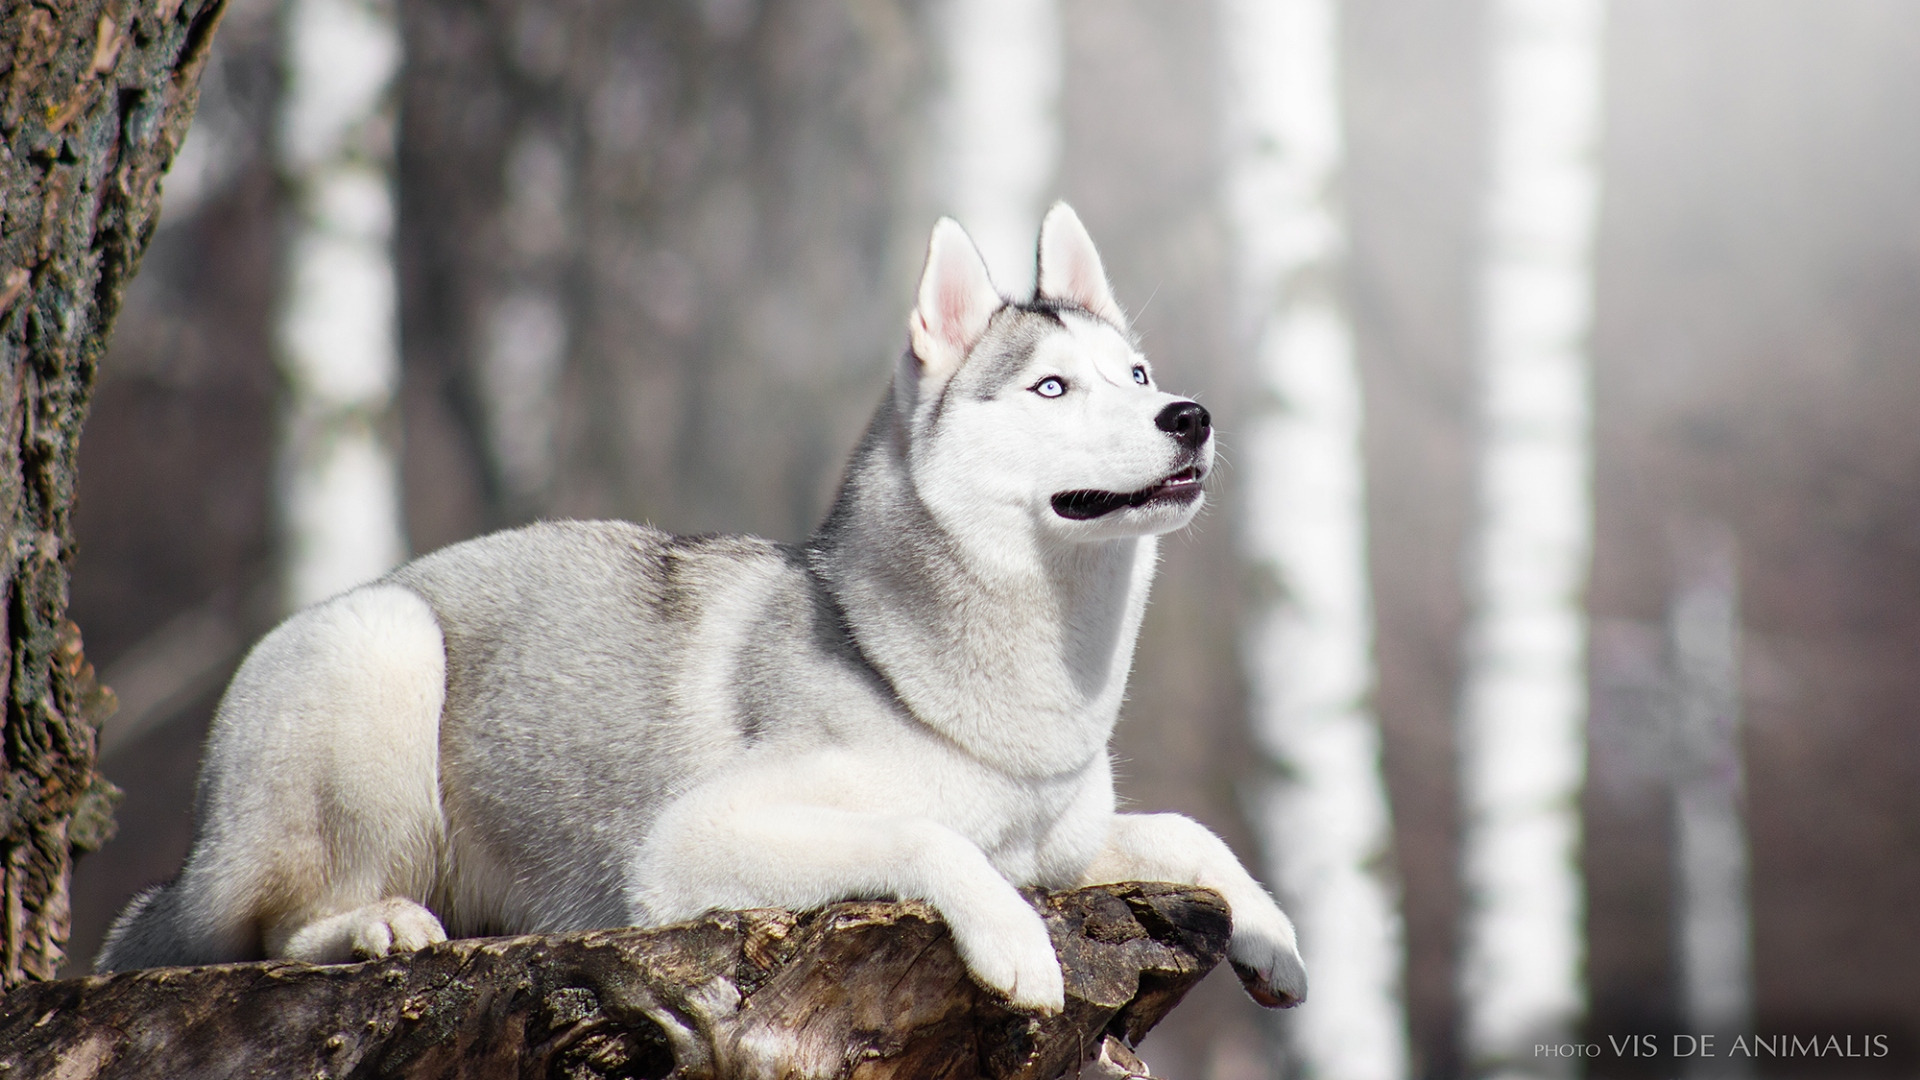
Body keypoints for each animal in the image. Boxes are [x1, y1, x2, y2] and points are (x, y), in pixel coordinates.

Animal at [101, 201, 1305, 1006]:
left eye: (1137, 376)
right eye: (1053, 388)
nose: (1189, 416)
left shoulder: (1066, 842)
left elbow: (1187, 833)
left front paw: (1274, 936)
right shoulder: (694, 843)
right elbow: (927, 836)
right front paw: (1014, 942)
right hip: (381, 649)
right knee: (265, 932)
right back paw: (372, 926)